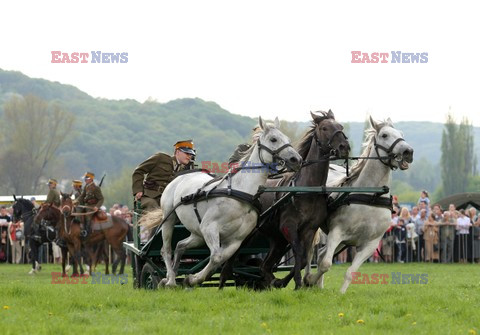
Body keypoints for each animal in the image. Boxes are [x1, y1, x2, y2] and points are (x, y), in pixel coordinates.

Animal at [141, 117, 302, 288]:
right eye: (273, 139)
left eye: (288, 139)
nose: (297, 160)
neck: (241, 193)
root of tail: (180, 177)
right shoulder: (209, 228)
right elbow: (216, 257)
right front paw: (193, 278)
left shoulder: (235, 240)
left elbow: (219, 260)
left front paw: (192, 278)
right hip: (169, 219)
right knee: (166, 250)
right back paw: (170, 279)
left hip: (197, 233)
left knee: (180, 246)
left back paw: (173, 275)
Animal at [306, 117, 414, 294]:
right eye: (384, 135)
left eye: (401, 134)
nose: (408, 152)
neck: (371, 197)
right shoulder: (337, 232)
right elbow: (325, 264)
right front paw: (309, 280)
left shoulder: (370, 245)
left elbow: (350, 272)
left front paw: (340, 294)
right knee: (310, 253)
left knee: (321, 253)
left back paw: (319, 285)